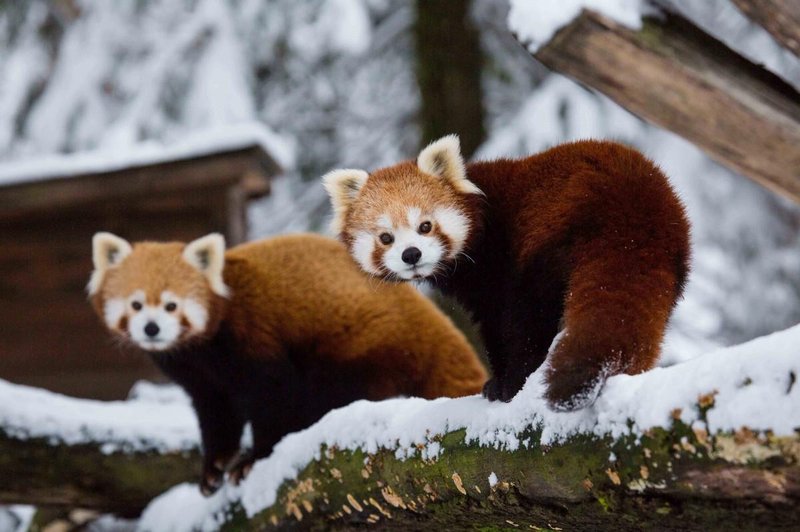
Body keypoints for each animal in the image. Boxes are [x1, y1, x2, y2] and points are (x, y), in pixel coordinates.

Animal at [87, 233, 488, 494]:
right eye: (136, 304)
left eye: (172, 305)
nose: (152, 328)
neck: (201, 351)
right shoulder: (201, 378)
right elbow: (217, 413)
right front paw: (214, 466)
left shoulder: (252, 334)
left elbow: (273, 396)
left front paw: (254, 458)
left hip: (362, 343)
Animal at [324, 135, 692, 410]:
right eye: (386, 237)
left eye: (425, 226)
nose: (411, 254)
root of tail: (630, 214)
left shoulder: (496, 265)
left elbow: (500, 324)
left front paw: (498, 383)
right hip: (671, 259)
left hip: (549, 238)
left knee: (530, 317)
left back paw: (516, 382)